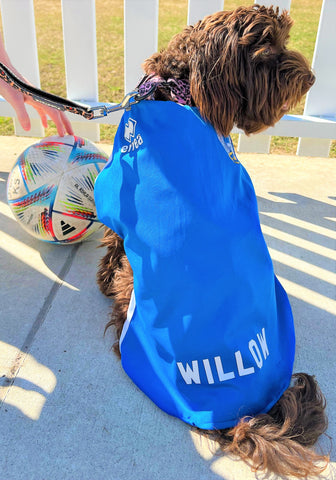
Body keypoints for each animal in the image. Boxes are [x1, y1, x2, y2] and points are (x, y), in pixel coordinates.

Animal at [96, 4, 326, 476]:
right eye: (265, 49)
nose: (311, 79)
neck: (177, 90)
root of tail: (241, 415)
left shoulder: (115, 201)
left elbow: (111, 244)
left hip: (136, 288)